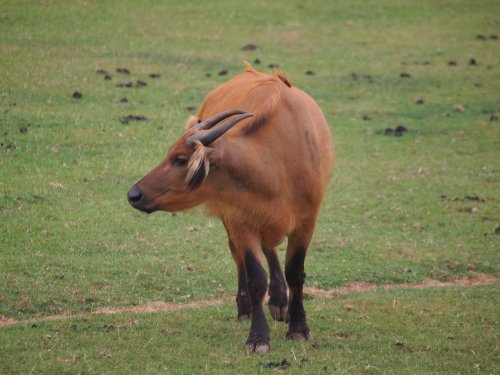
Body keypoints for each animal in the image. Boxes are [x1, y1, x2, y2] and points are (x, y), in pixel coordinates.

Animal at [127, 63, 334, 354]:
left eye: (179, 159)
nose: (134, 194)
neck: (275, 165)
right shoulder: (240, 219)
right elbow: (255, 276)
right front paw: (258, 336)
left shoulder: (306, 220)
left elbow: (295, 272)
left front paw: (298, 327)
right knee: (240, 256)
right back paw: (248, 306)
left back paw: (279, 300)